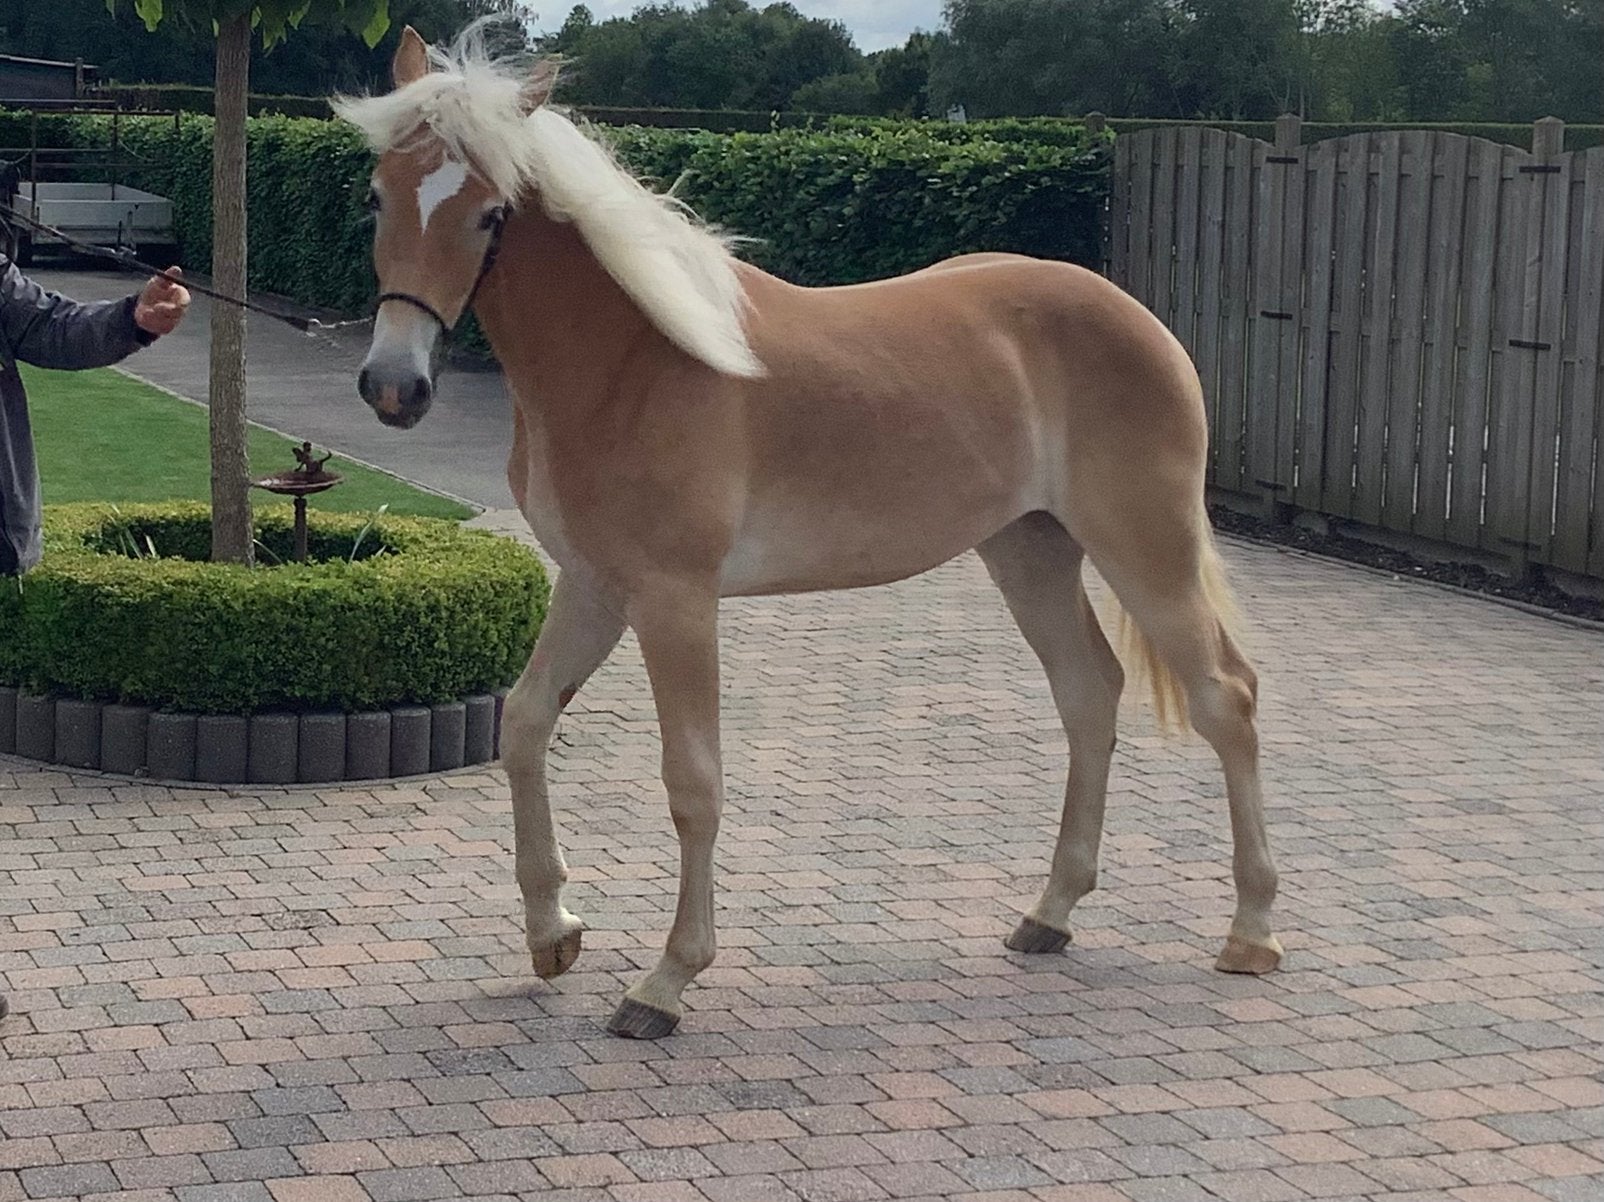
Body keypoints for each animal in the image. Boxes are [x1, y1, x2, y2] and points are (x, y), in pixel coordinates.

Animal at [335, 25, 1283, 1039]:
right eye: (378, 194)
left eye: (489, 214)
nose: (394, 387)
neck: (632, 364)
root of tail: (1143, 322)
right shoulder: (594, 586)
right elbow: (523, 724)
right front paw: (555, 934)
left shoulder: (674, 602)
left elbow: (693, 783)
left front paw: (665, 981)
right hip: (1029, 550)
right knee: (1088, 694)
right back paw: (1050, 914)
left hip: (1146, 548)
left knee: (1227, 697)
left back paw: (1252, 932)